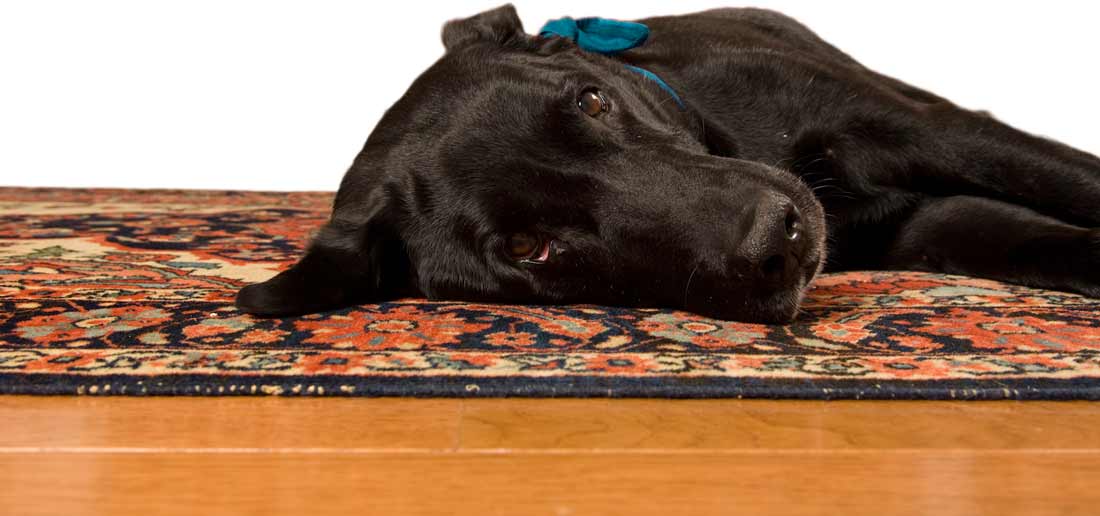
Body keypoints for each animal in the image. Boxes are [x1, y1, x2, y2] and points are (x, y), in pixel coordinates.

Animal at [234, 5, 1100, 321]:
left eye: (591, 101)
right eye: (528, 248)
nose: (780, 234)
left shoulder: (931, 130)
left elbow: (1068, 176)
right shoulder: (929, 225)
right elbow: (1036, 239)